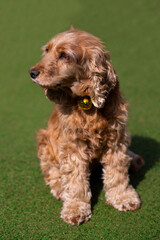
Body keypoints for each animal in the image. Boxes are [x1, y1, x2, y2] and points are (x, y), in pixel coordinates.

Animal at [28, 27, 144, 225]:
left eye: (64, 56)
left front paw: (123, 197)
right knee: (51, 170)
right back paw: (59, 188)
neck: (87, 102)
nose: (32, 72)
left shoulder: (116, 137)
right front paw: (75, 209)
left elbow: (117, 172)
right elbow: (75, 180)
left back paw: (135, 159)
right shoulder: (72, 145)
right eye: (47, 51)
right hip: (45, 141)